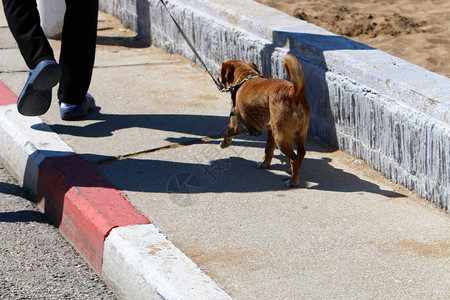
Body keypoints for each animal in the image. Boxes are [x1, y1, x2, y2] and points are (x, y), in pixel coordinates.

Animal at [218, 53, 310, 185]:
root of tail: (294, 92)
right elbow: (268, 150)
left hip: (281, 138)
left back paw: (292, 181)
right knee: (301, 153)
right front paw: (265, 164)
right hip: (298, 134)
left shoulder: (235, 125)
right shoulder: (271, 131)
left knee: (294, 158)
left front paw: (224, 144)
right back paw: (292, 171)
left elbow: (226, 133)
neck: (244, 78)